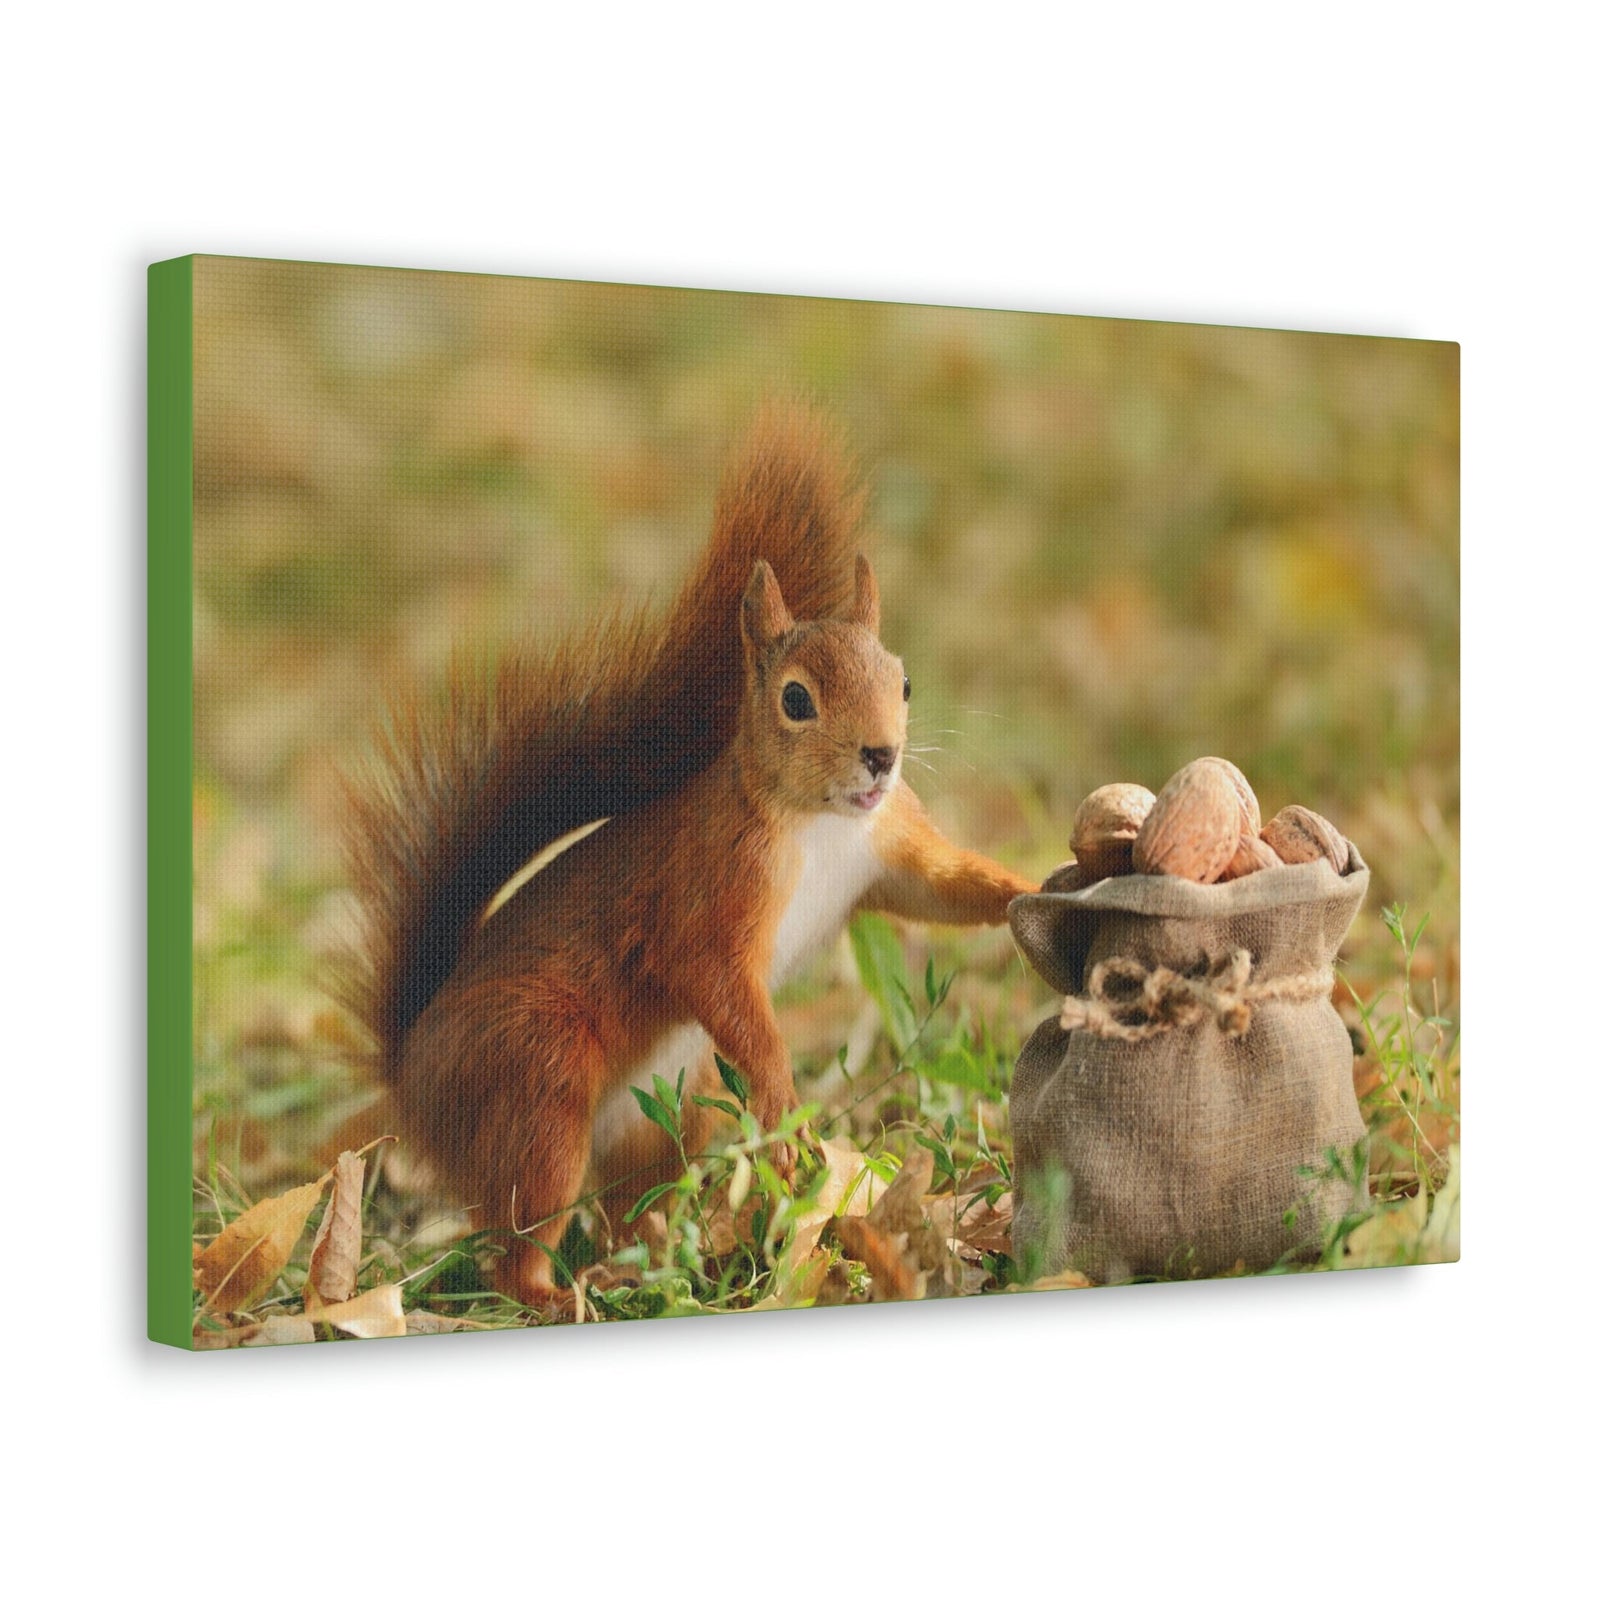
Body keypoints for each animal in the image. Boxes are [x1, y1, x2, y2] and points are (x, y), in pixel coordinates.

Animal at [341, 408, 1037, 1310]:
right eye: (796, 699)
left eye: (905, 681)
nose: (882, 757)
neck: (820, 824)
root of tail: (413, 1078)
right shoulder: (710, 887)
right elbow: (708, 972)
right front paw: (783, 1103)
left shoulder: (888, 849)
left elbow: (946, 889)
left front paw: (1042, 885)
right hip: (536, 1083)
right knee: (516, 1238)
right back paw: (558, 1296)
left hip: (668, 1114)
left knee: (633, 1210)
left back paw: (659, 1267)